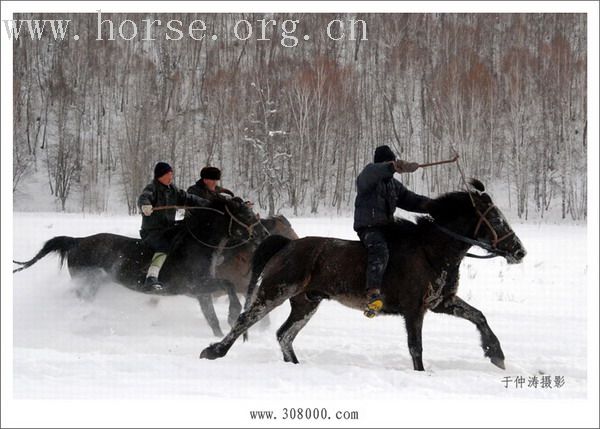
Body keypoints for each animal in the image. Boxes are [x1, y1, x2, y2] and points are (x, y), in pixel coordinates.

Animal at [12, 196, 274, 334]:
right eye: (246, 215)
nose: (265, 234)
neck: (197, 243)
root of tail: (77, 241)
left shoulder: (202, 293)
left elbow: (213, 319)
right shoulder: (196, 286)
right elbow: (228, 286)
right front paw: (233, 314)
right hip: (85, 284)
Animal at [200, 179, 524, 370]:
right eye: (496, 219)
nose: (520, 251)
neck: (431, 251)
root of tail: (287, 244)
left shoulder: (442, 302)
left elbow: (478, 316)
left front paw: (496, 354)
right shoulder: (414, 310)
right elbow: (416, 347)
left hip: (306, 303)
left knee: (284, 334)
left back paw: (295, 364)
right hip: (274, 291)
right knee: (246, 319)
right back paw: (214, 351)